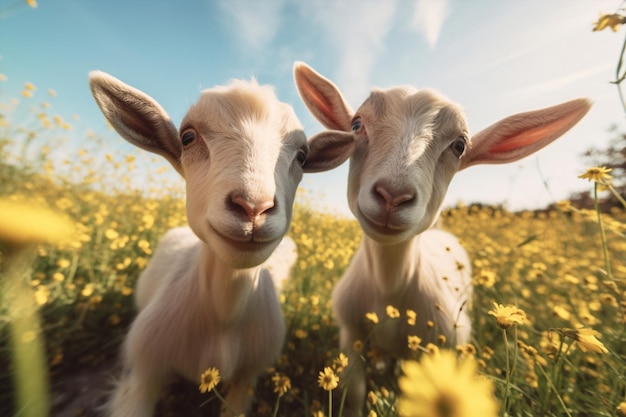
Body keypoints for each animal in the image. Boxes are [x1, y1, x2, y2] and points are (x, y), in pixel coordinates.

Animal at [90, 72, 330, 416]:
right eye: (187, 137)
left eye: (302, 156)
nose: (253, 207)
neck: (224, 316)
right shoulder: (144, 373)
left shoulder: (247, 377)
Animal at [294, 60, 588, 414]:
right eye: (356, 124)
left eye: (459, 146)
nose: (392, 196)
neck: (389, 288)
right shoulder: (350, 337)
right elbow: (354, 393)